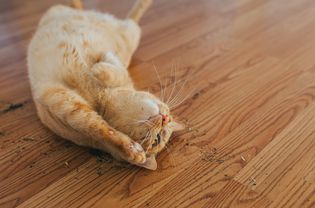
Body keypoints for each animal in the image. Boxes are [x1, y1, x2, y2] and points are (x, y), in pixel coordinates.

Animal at [28, 0, 185, 170]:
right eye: (166, 110)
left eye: (157, 139)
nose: (165, 118)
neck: (100, 97)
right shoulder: (62, 99)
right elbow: (111, 69)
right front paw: (99, 67)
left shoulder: (66, 105)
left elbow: (101, 129)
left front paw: (133, 152)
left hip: (131, 31)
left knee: (133, 16)